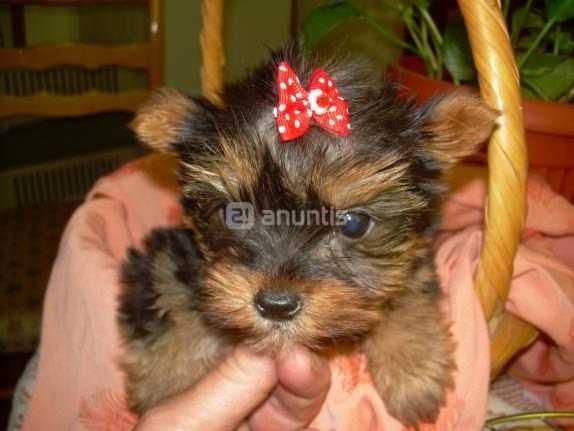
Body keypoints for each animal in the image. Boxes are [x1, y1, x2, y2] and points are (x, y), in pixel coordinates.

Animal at [118, 45, 500, 426]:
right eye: (234, 213)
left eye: (354, 223)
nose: (276, 305)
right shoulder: (173, 250)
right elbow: (167, 290)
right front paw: (168, 383)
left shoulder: (414, 253)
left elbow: (408, 288)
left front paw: (412, 368)